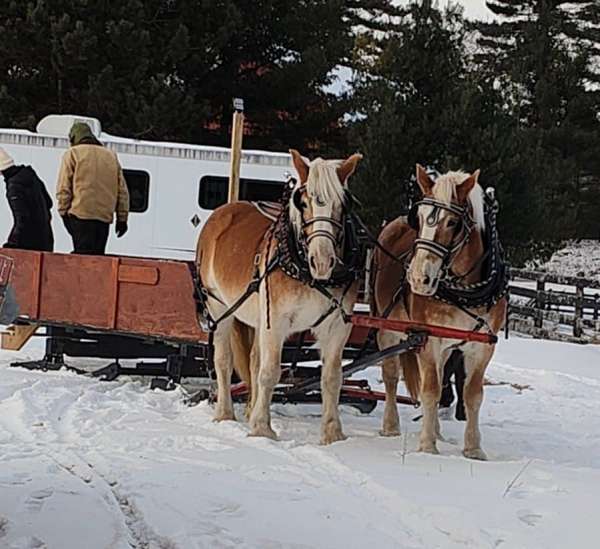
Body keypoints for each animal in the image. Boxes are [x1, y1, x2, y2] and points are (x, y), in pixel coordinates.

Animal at [197, 152, 364, 444]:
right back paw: (224, 413)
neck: (307, 272)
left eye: (343, 205)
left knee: (253, 360)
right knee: (224, 361)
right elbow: (270, 372)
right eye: (304, 202)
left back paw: (250, 409)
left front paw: (333, 434)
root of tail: (223, 211)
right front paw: (262, 429)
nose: (322, 261)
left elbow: (332, 377)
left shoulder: (337, 326)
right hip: (219, 308)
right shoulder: (276, 321)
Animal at [372, 166, 508, 458]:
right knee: (391, 376)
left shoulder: (482, 348)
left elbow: (472, 395)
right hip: (387, 327)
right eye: (421, 217)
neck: (465, 289)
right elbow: (430, 390)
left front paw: (473, 448)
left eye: (452, 223)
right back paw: (391, 425)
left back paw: (435, 429)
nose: (418, 278)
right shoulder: (429, 339)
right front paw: (427, 446)